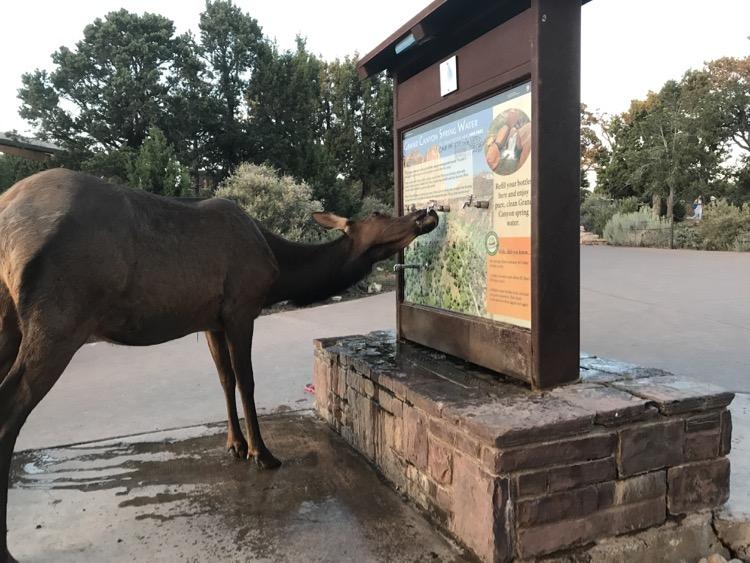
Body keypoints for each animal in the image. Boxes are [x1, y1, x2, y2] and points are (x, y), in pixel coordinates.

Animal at [0, 168, 438, 563]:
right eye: (380, 214)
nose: (427, 213)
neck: (281, 271)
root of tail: (8, 212)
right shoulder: (242, 306)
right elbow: (247, 381)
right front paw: (262, 452)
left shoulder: (211, 319)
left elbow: (225, 379)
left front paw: (235, 445)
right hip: (59, 319)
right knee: (12, 407)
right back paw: (7, 549)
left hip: (11, 318)